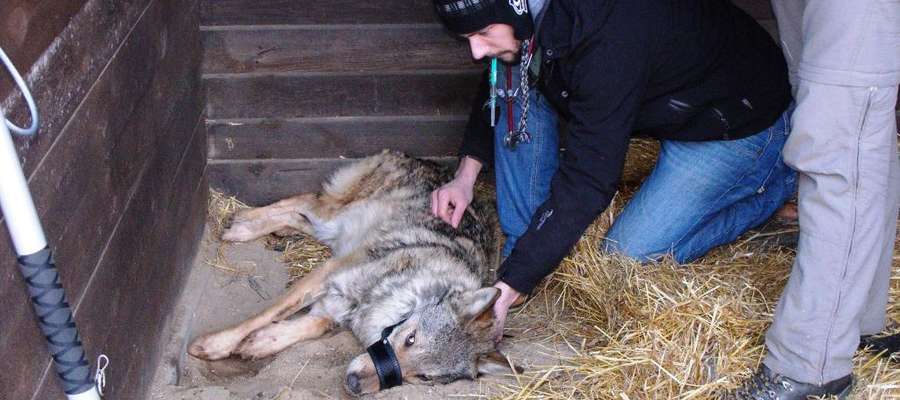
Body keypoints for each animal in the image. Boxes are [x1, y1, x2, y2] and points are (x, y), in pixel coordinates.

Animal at [188, 151, 520, 396]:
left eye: (424, 377)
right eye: (411, 338)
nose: (354, 384)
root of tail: (419, 158)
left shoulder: (333, 305)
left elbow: (308, 327)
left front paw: (261, 342)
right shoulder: (328, 272)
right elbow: (270, 312)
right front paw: (215, 345)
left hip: (334, 230)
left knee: (300, 215)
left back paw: (265, 228)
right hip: (333, 217)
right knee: (304, 200)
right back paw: (243, 224)